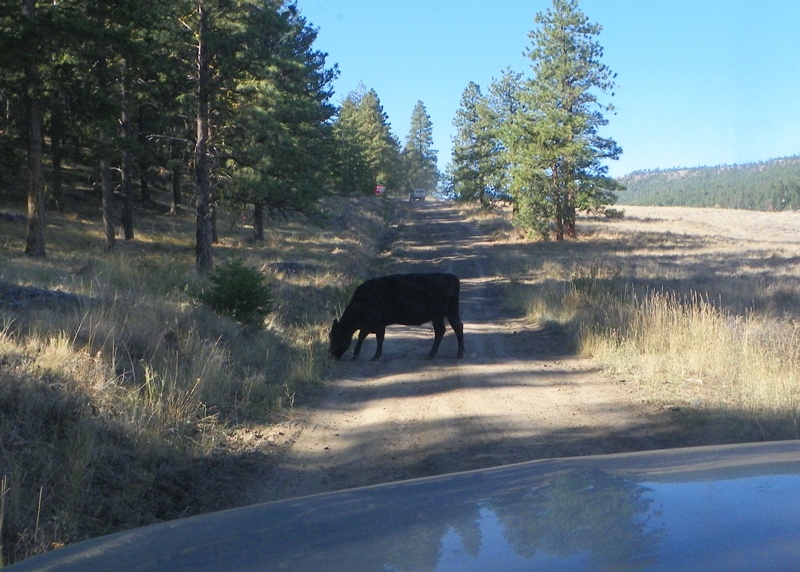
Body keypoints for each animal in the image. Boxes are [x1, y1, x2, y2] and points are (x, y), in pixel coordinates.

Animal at [330, 274, 466, 362]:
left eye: (336, 336)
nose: (332, 356)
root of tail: (452, 277)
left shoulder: (375, 324)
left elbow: (370, 337)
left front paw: (371, 356)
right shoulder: (376, 325)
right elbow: (371, 337)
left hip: (438, 315)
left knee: (441, 330)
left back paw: (431, 355)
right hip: (450, 312)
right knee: (457, 327)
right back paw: (459, 353)